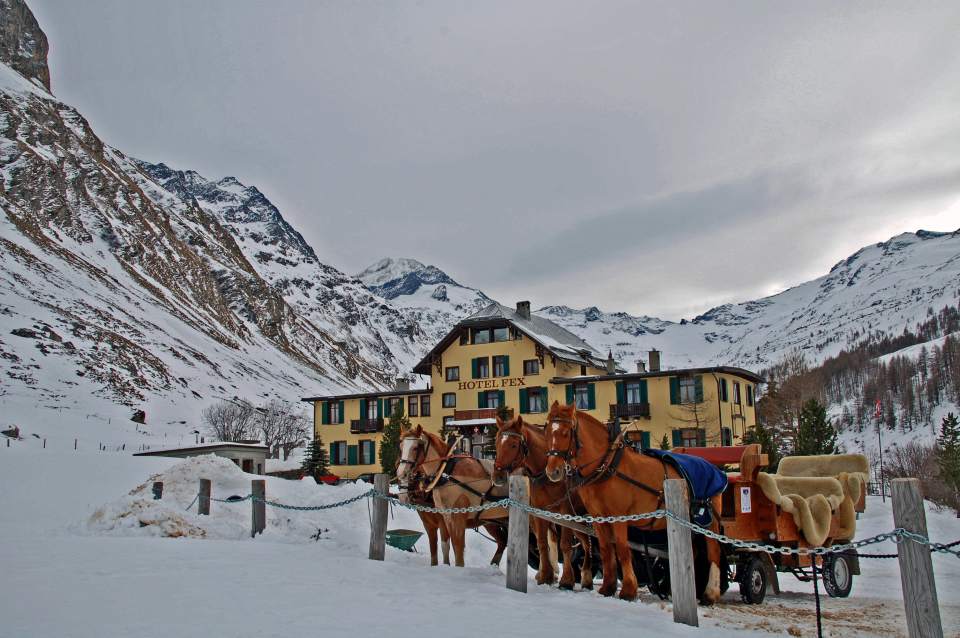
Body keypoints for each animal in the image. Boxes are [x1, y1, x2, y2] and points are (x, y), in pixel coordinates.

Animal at [396, 424, 510, 568]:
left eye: (416, 447)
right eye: (400, 447)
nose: (401, 473)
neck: (446, 472)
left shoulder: (456, 517)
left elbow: (456, 547)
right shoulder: (441, 519)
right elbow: (442, 547)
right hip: (492, 521)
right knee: (502, 541)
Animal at [492, 418, 596, 592]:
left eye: (513, 445)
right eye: (496, 442)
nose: (497, 475)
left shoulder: (565, 511)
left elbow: (565, 544)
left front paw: (566, 580)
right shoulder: (539, 511)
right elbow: (541, 543)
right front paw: (546, 576)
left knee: (588, 542)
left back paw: (587, 577)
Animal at [544, 402, 724, 608]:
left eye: (566, 433)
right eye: (547, 432)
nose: (553, 471)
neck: (606, 467)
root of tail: (714, 468)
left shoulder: (618, 517)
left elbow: (622, 550)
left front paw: (628, 590)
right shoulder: (598, 518)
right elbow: (606, 550)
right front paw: (608, 587)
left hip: (708, 522)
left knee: (713, 552)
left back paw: (710, 594)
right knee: (691, 552)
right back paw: (678, 589)